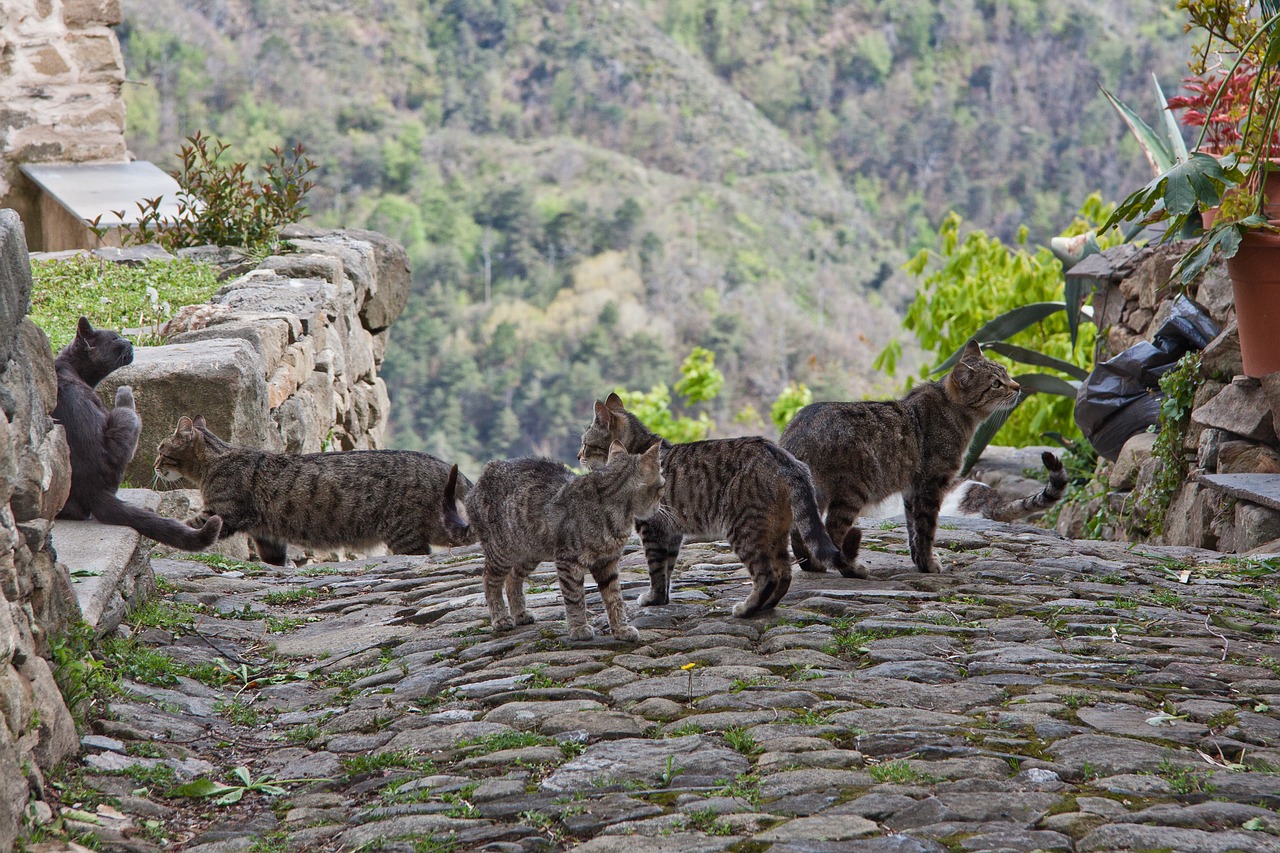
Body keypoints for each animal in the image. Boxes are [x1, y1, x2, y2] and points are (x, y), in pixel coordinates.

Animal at [53, 315, 224, 548]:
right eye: (115, 338)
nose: (131, 341)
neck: (68, 366)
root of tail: (94, 490)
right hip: (126, 416)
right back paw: (125, 392)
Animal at [150, 412, 471, 560]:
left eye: (161, 449)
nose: (153, 465)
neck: (215, 461)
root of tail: (440, 463)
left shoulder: (220, 513)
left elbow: (184, 528)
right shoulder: (267, 536)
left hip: (405, 533)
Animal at [437, 438, 660, 637]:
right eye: (661, 486)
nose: (659, 506)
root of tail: (477, 484)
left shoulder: (607, 563)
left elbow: (615, 599)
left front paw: (621, 629)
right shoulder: (568, 562)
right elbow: (574, 597)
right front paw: (578, 627)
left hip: (529, 551)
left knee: (513, 578)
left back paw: (519, 613)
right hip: (502, 551)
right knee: (489, 580)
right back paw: (500, 618)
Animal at [581, 391, 860, 617]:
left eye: (585, 444)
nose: (577, 455)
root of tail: (784, 458)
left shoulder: (653, 530)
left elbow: (656, 570)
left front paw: (652, 599)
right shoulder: (671, 533)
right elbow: (667, 569)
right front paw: (662, 599)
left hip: (743, 529)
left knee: (768, 575)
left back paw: (747, 609)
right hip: (775, 532)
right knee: (784, 573)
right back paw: (767, 605)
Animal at [778, 338, 1018, 571]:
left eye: (1006, 373)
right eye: (996, 383)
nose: (1017, 386)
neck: (955, 411)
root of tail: (796, 431)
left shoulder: (911, 490)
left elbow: (913, 528)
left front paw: (920, 561)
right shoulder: (930, 485)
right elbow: (926, 529)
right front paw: (928, 562)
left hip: (813, 496)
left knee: (800, 532)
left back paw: (812, 565)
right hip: (852, 491)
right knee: (832, 532)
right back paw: (848, 567)